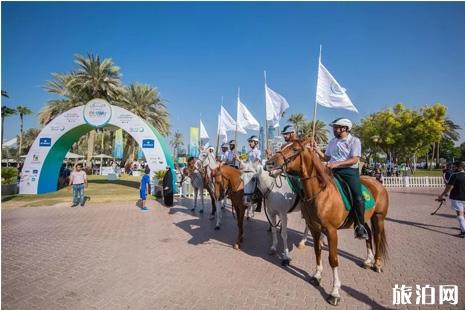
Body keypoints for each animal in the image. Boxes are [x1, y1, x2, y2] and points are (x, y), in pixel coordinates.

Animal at [264, 139, 388, 306]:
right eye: (283, 146)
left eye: (295, 149)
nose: (269, 163)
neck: (321, 193)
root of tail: (377, 183)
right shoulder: (315, 228)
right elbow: (317, 251)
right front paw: (317, 276)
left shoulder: (331, 231)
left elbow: (333, 259)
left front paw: (335, 292)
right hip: (363, 219)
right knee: (367, 234)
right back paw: (368, 260)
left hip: (379, 217)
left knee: (378, 237)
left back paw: (377, 264)